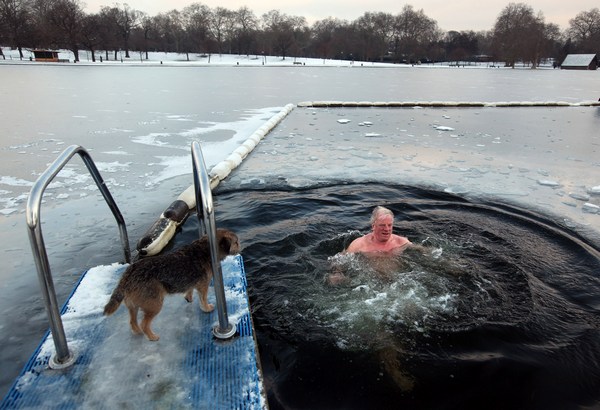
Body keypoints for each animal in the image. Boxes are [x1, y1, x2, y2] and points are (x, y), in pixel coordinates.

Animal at [104, 229, 240, 342]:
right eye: (236, 242)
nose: (240, 246)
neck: (205, 249)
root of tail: (128, 274)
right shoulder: (203, 285)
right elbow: (203, 298)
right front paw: (206, 308)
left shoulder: (192, 282)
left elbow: (189, 290)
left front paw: (189, 298)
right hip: (154, 304)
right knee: (144, 324)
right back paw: (152, 337)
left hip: (133, 305)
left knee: (132, 321)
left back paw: (138, 332)